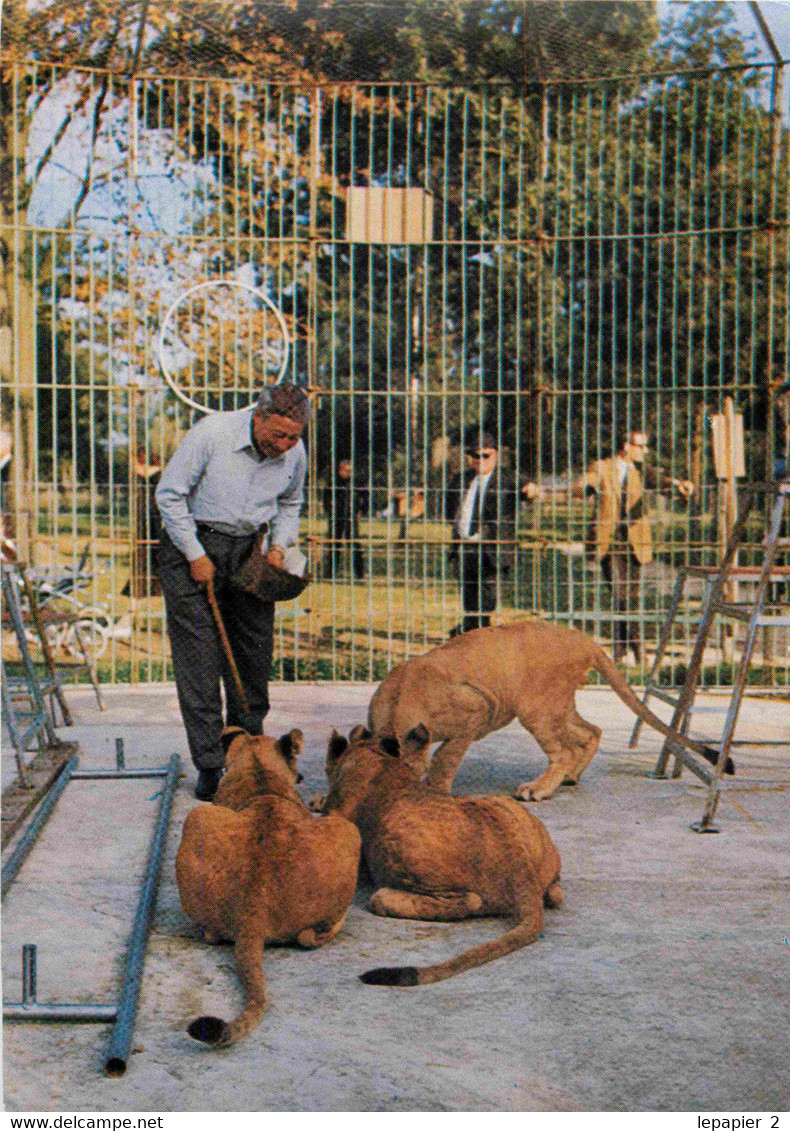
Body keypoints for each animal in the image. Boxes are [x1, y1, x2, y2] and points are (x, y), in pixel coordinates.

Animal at [175, 728, 359, 1045]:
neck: (257, 766)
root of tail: (254, 898)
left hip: (197, 817)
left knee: (210, 934)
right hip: (347, 828)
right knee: (313, 936)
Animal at [323, 728, 563, 986]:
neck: (374, 757)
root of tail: (518, 856)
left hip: (399, 846)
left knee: (466, 901)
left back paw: (386, 897)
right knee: (556, 894)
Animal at [364, 624, 733, 800]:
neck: (397, 706)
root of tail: (584, 640)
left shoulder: (476, 709)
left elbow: (445, 757)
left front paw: (436, 793)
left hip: (535, 709)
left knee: (564, 751)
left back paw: (539, 788)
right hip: (556, 705)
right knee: (591, 732)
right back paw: (570, 777)